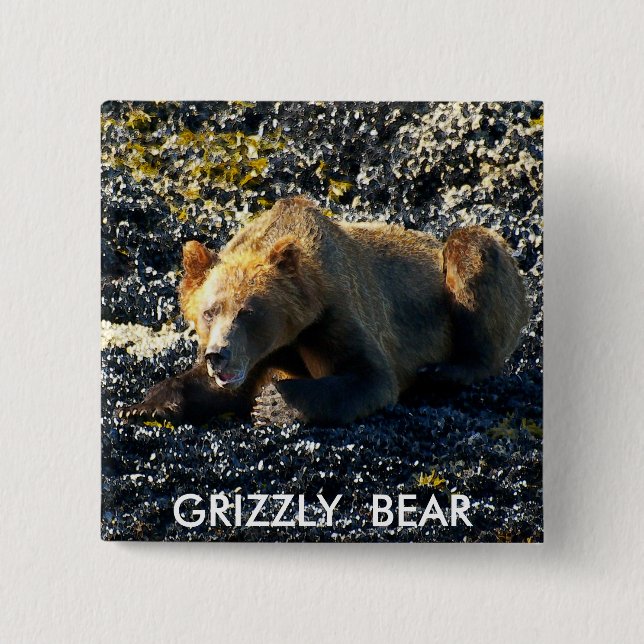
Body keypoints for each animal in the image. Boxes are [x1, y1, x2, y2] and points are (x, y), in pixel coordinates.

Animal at [118, 196, 530, 426]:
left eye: (248, 312)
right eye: (209, 312)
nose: (218, 354)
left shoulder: (336, 313)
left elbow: (370, 377)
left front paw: (275, 404)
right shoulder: (260, 355)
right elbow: (214, 389)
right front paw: (144, 406)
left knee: (471, 251)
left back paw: (443, 371)